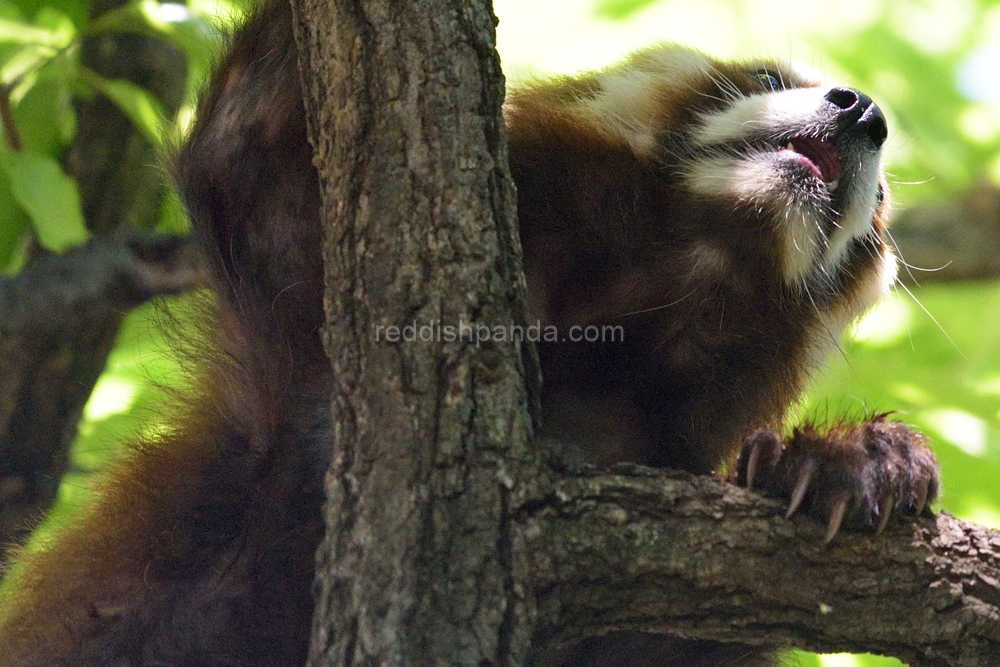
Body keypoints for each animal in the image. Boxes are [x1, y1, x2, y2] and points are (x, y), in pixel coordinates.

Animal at [0, 1, 936, 667]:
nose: (865, 111)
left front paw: (853, 461)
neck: (671, 273)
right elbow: (243, 139)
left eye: (878, 212)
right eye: (766, 74)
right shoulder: (300, 310)